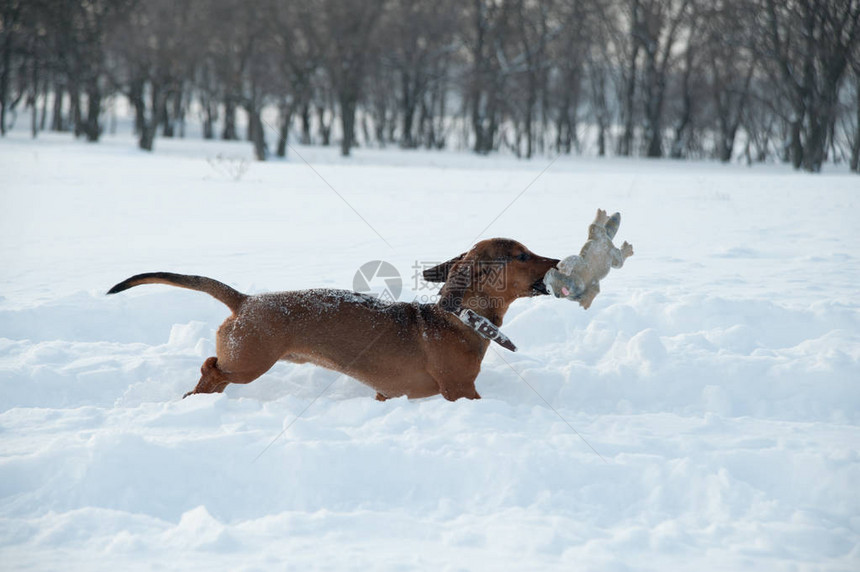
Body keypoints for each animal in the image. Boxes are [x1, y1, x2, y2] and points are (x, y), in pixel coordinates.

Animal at [109, 239, 556, 400]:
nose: (556, 261)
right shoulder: (460, 390)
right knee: (211, 367)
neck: (460, 317)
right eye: (521, 255)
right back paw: (197, 395)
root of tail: (245, 300)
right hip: (248, 362)